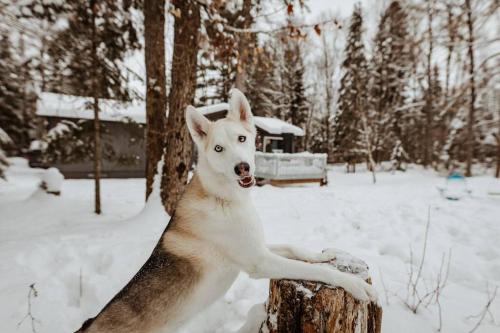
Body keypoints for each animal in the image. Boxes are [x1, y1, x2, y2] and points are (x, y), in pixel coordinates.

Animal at [75, 89, 376, 332]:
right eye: (219, 148)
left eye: (242, 138)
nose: (242, 168)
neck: (224, 198)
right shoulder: (260, 261)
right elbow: (316, 272)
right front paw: (354, 284)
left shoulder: (256, 248)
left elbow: (295, 248)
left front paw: (322, 255)